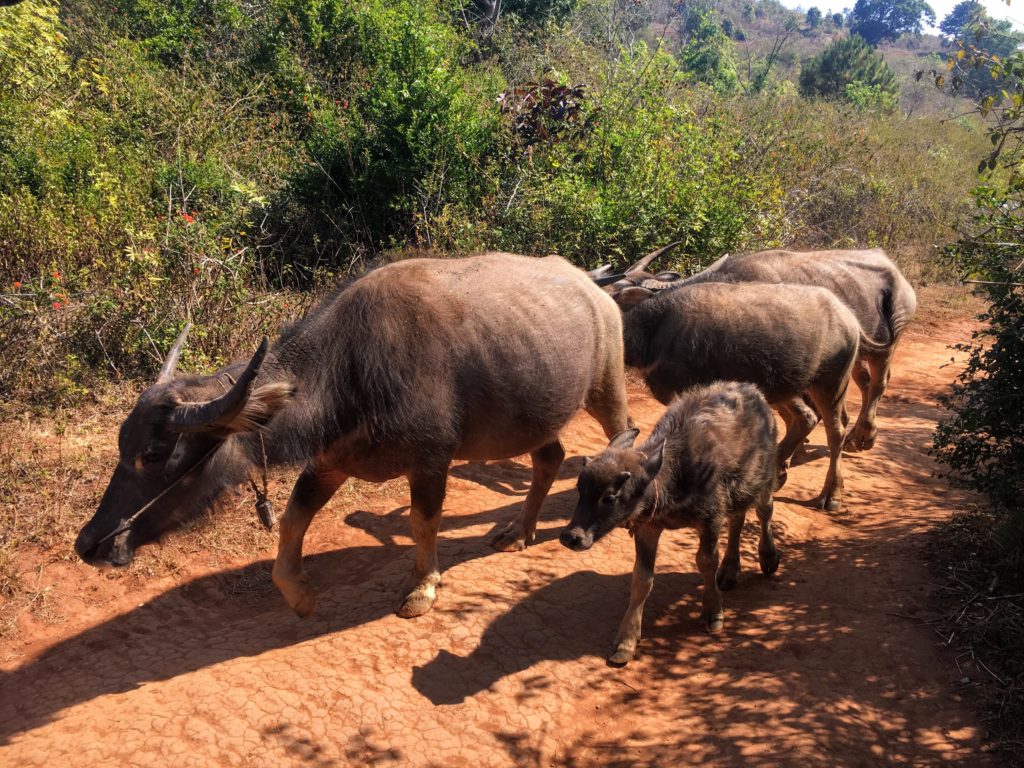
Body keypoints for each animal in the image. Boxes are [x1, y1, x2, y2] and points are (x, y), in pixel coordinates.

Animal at [74, 256, 630, 622]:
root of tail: (595, 288)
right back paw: (519, 531)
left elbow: (423, 523)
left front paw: (422, 589)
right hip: (537, 417)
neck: (352, 370)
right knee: (550, 457)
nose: (90, 544)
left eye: (154, 453)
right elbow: (292, 520)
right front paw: (299, 595)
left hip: (608, 387)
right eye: (123, 446)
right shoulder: (329, 461)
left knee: (619, 435)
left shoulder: (431, 460)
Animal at [561, 385, 774, 667]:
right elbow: (642, 579)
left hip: (763, 480)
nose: (571, 537)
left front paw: (713, 612)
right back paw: (730, 570)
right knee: (738, 520)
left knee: (764, 510)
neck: (675, 477)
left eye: (609, 497)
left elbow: (706, 562)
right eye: (579, 489)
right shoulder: (648, 528)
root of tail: (754, 393)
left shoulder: (710, 519)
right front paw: (626, 641)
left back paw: (768, 557)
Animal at [610, 280, 892, 512]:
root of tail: (848, 317)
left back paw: (831, 495)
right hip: (788, 386)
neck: (656, 329)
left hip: (831, 384)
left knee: (836, 432)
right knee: (807, 419)